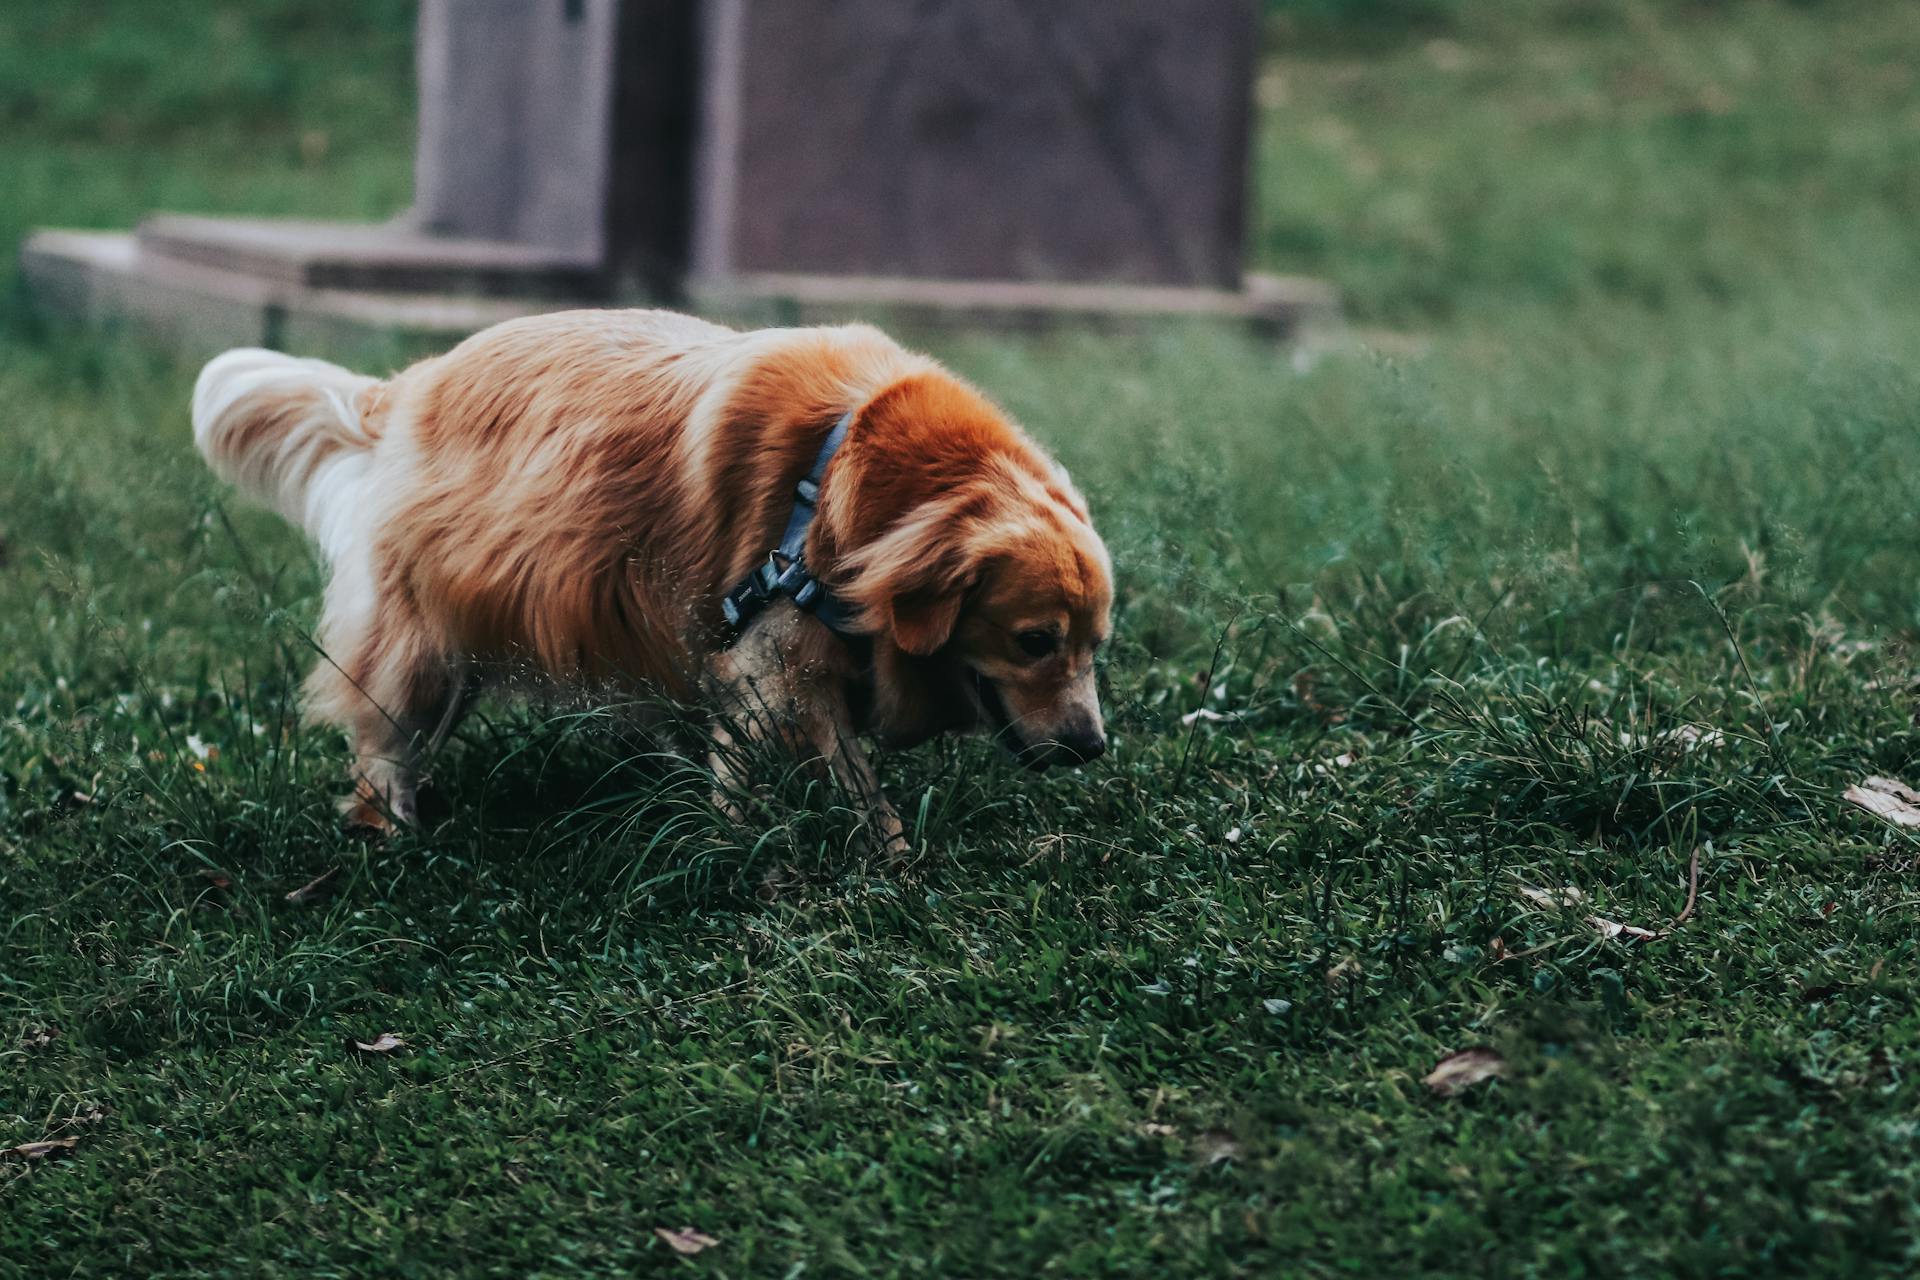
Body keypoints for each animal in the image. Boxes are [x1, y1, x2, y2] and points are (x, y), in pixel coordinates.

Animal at [189, 308, 1121, 852]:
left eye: (1094, 647)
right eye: (1034, 642)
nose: (1091, 749)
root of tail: (409, 386)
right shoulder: (776, 655)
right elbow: (837, 780)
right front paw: (847, 856)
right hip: (430, 634)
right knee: (383, 737)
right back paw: (393, 826)